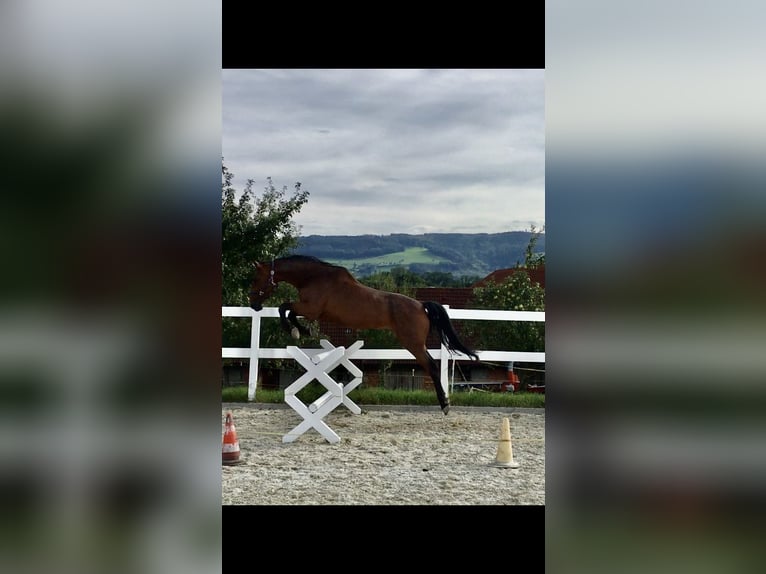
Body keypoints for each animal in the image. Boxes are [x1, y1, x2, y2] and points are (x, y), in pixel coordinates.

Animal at [250, 256, 480, 414]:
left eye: (256, 278)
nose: (254, 305)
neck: (313, 277)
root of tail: (421, 305)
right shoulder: (309, 310)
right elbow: (288, 311)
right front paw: (303, 330)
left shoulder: (310, 309)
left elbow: (284, 308)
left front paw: (297, 331)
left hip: (413, 343)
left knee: (431, 366)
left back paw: (445, 405)